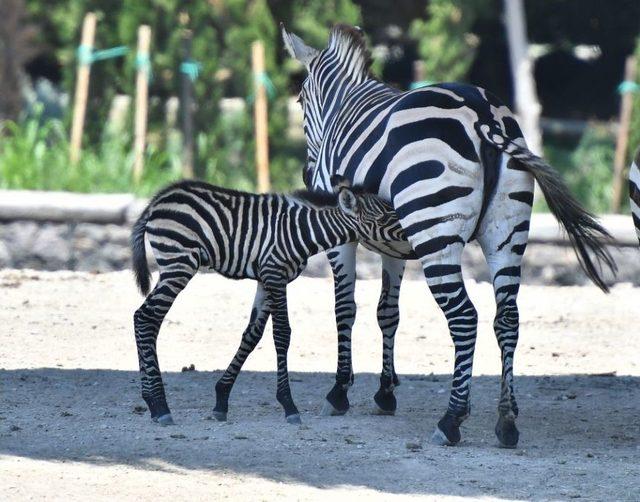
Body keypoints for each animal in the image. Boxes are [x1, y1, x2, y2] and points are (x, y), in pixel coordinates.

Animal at [282, 23, 616, 448]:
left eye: (300, 99)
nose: (309, 177)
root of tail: (484, 115)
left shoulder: (345, 236)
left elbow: (346, 308)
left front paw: (339, 392)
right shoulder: (391, 240)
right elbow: (387, 312)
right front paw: (385, 393)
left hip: (435, 234)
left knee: (465, 317)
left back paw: (452, 419)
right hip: (506, 234)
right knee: (507, 318)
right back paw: (506, 420)